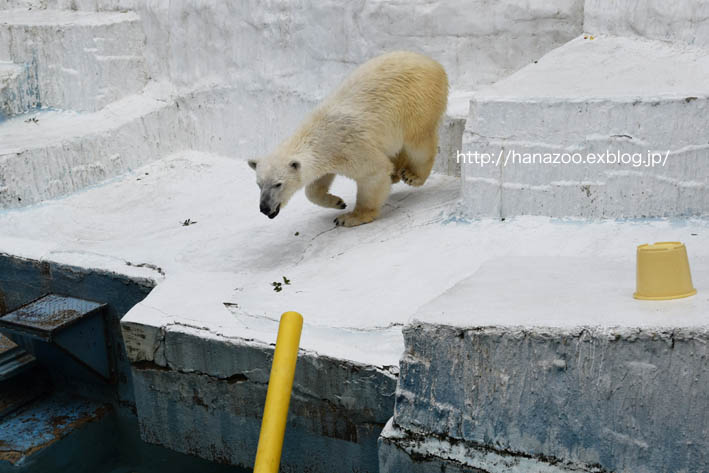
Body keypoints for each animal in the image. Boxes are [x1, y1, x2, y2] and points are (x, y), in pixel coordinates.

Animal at [249, 51, 448, 227]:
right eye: (259, 184)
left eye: (278, 184)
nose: (264, 208)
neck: (317, 136)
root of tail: (435, 64)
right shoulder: (330, 154)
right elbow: (317, 183)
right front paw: (337, 202)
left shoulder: (350, 146)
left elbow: (373, 172)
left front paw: (350, 217)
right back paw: (396, 173)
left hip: (416, 103)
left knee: (418, 143)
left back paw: (413, 175)